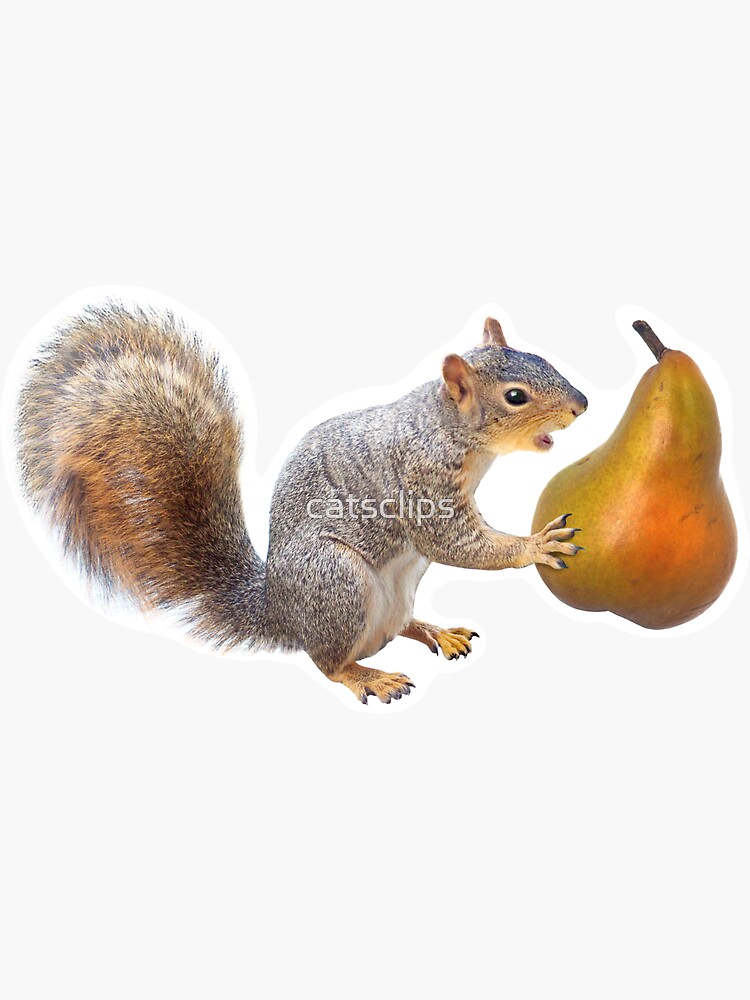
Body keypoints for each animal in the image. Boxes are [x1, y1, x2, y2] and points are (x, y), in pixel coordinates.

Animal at [15, 302, 588, 704]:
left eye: (542, 359)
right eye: (515, 396)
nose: (582, 405)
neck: (449, 428)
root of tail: (281, 613)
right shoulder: (422, 481)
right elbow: (455, 542)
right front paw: (535, 545)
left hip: (395, 589)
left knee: (396, 626)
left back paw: (432, 630)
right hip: (337, 582)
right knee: (329, 663)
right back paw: (369, 678)